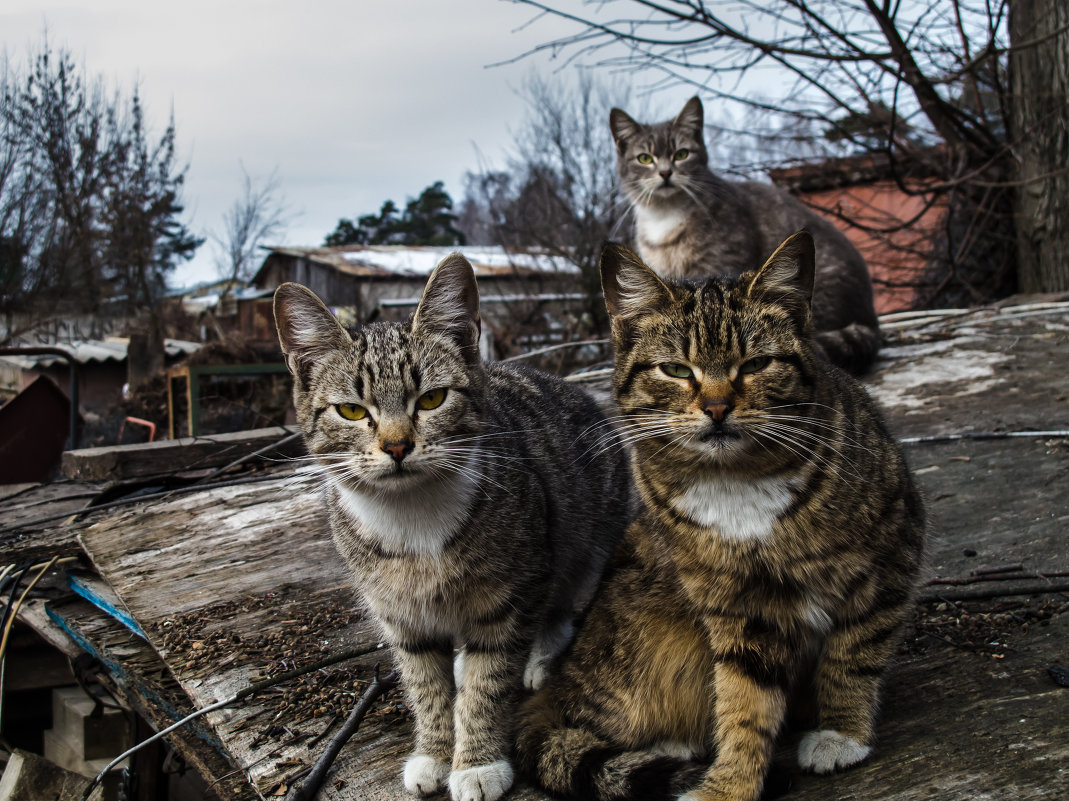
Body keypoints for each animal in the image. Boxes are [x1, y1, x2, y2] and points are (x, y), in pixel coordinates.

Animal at [271, 253, 628, 799]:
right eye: (351, 410)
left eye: (432, 399)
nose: (397, 446)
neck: (411, 515)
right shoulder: (400, 614)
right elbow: (425, 683)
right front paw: (436, 751)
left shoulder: (514, 587)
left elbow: (490, 680)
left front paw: (477, 761)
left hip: (587, 532)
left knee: (562, 598)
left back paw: (540, 655)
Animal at [513, 230, 923, 799]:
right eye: (675, 369)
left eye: (755, 365)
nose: (716, 407)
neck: (736, 481)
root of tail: (556, 683)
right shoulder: (739, 608)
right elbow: (746, 702)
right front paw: (729, 784)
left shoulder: (888, 558)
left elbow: (853, 655)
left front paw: (841, 731)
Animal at [615, 97, 880, 374]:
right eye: (644, 158)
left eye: (682, 154)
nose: (666, 173)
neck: (664, 218)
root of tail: (870, 317)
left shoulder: (721, 263)